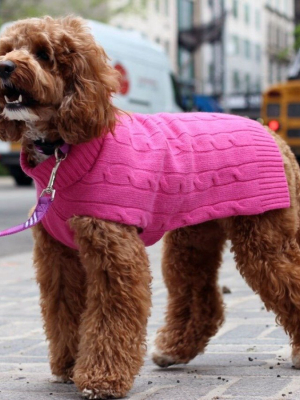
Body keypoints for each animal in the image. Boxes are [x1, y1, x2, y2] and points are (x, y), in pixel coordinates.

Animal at [0, 14, 298, 400]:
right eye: (7, 49)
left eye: (43, 54)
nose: (4, 66)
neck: (63, 151)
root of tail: (273, 134)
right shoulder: (58, 257)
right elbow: (63, 309)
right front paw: (68, 364)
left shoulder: (114, 252)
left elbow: (111, 315)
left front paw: (101, 378)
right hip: (191, 240)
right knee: (202, 298)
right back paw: (174, 350)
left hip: (264, 240)